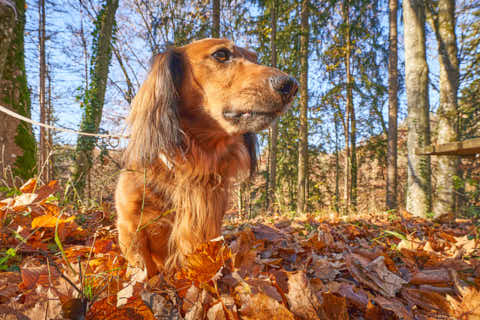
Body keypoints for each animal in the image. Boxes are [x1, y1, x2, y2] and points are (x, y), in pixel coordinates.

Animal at [115, 38, 296, 276]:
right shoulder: (131, 230)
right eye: (221, 54)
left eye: (254, 58)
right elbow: (146, 271)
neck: (193, 163)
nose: (291, 85)